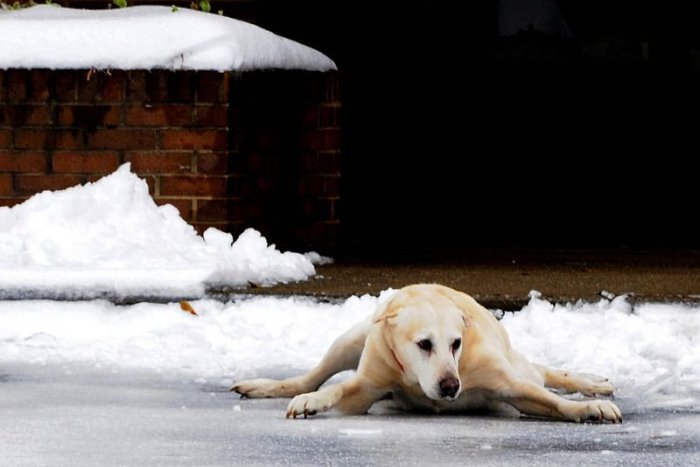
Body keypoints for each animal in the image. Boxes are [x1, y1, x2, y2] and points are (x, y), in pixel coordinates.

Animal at [232, 286, 620, 424]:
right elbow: (338, 388)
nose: (450, 386)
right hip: (353, 337)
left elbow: (550, 400)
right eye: (423, 344)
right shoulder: (368, 383)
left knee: (543, 374)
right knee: (312, 376)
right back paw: (264, 386)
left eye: (456, 343)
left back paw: (595, 384)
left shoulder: (509, 385)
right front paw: (311, 402)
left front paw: (590, 407)